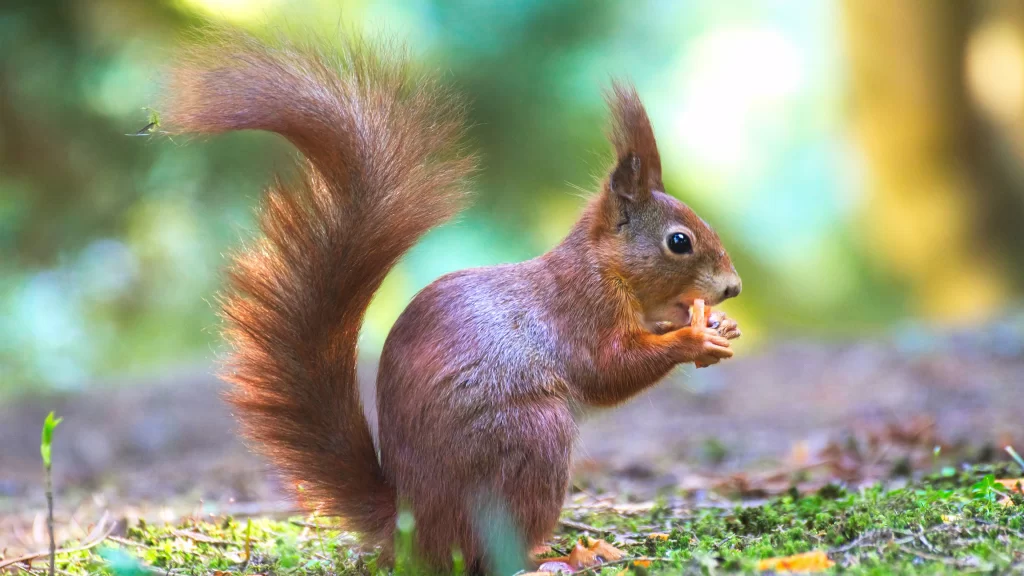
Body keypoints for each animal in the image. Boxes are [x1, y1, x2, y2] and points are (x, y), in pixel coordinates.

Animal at [160, 28, 741, 574]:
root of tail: (413, 527)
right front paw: (693, 337)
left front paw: (718, 324)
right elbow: (610, 370)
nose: (733, 287)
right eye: (679, 241)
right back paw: (561, 555)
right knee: (492, 552)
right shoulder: (582, 312)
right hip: (533, 440)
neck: (607, 269)